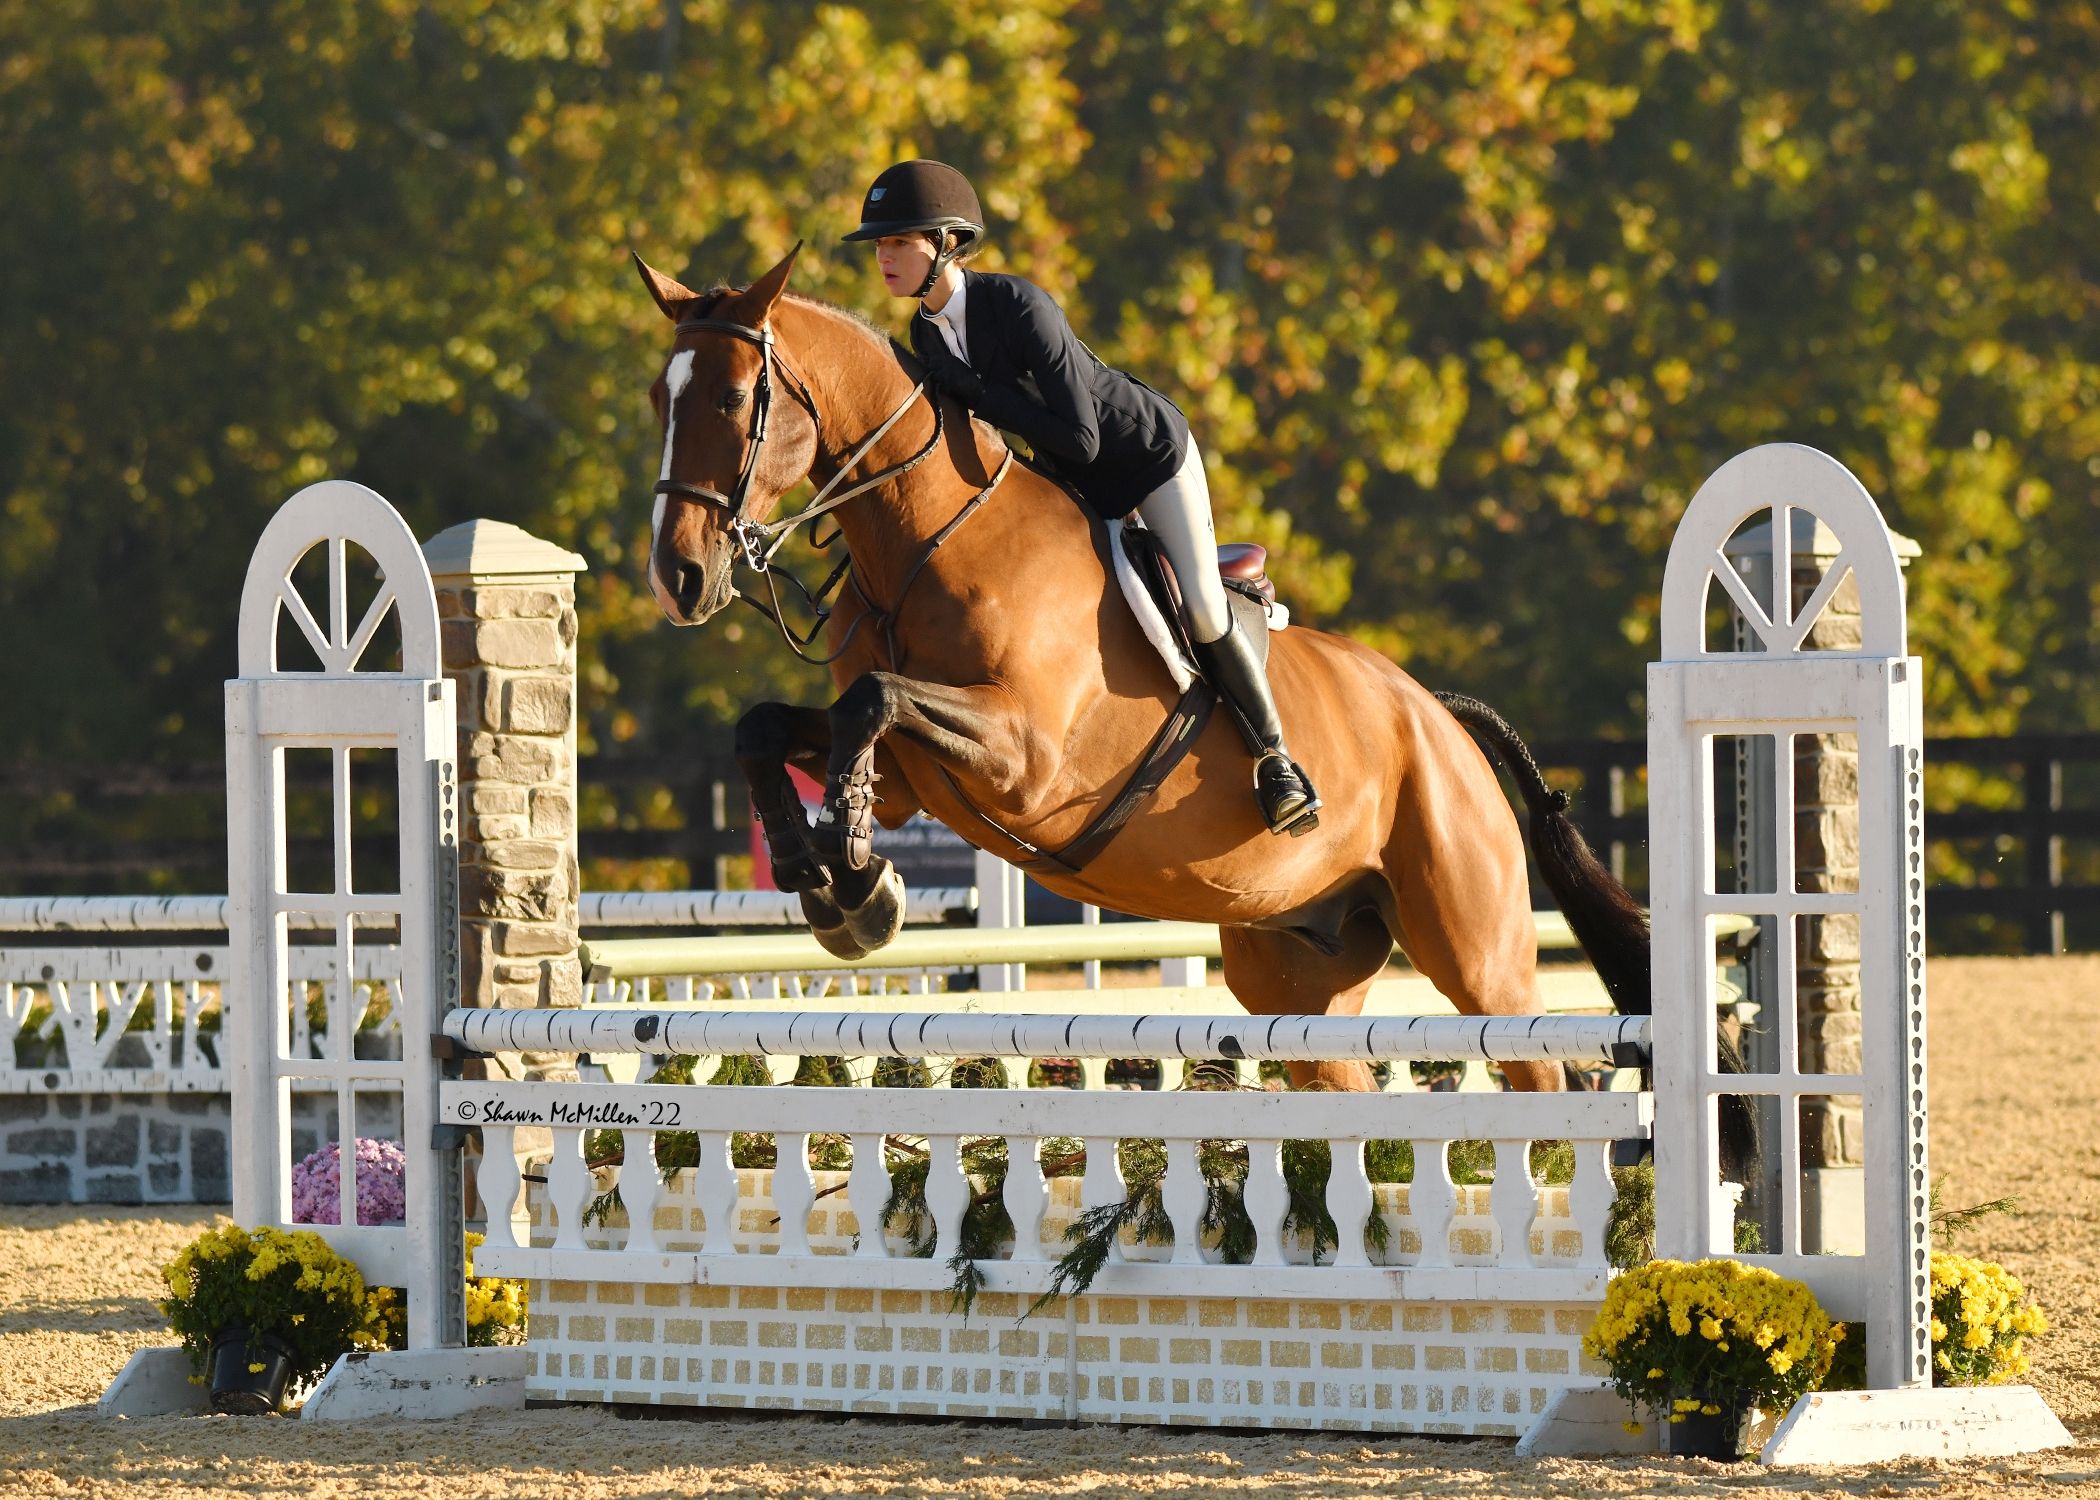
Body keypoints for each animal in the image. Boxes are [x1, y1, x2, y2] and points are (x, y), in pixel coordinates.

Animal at [630, 245, 1730, 1142]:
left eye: (731, 400)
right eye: (657, 397)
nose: (678, 577)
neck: (928, 535)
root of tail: (1438, 718)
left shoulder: (1024, 759)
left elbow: (871, 703)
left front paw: (854, 879)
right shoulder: (915, 777)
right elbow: (772, 728)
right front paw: (829, 879)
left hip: (1477, 948)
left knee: (1544, 1077)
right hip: (1299, 971)